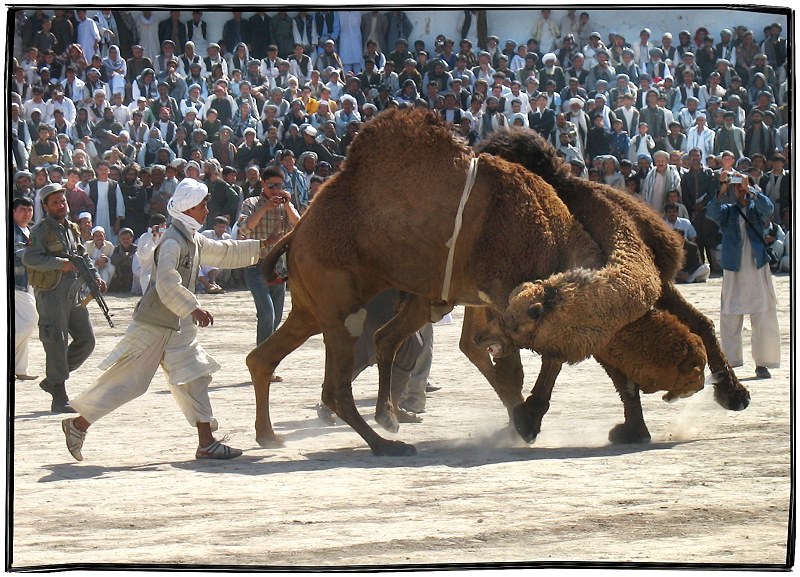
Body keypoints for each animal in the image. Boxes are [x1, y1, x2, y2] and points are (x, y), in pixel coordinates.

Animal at [468, 127, 752, 440]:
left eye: (516, 323)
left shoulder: (659, 283)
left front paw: (735, 395)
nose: (484, 337)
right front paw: (528, 420)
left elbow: (700, 322)